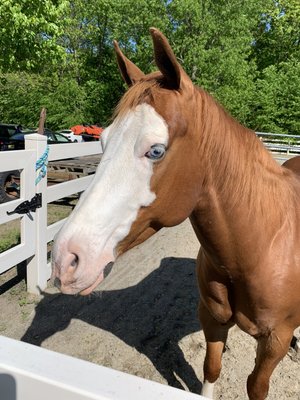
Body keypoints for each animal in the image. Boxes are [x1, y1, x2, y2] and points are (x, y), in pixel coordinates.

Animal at [52, 29, 300, 398]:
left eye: (155, 150)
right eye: (103, 140)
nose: (65, 260)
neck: (261, 247)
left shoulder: (274, 343)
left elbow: (257, 387)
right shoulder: (212, 320)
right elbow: (211, 369)